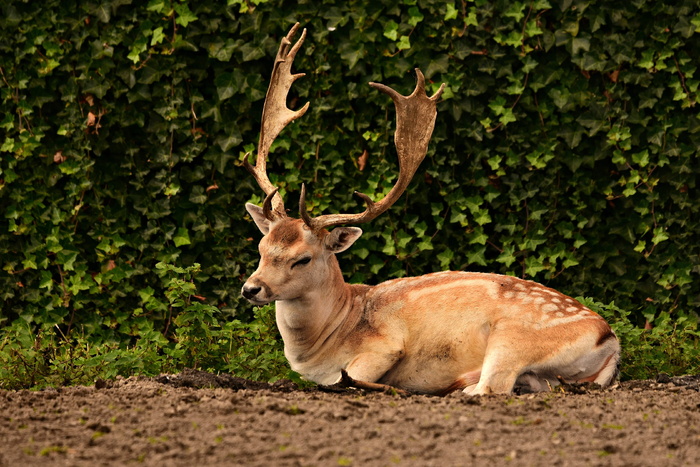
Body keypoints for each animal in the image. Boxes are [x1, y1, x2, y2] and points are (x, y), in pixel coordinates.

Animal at [239, 23, 616, 396]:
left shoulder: (384, 346)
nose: (250, 289)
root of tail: (610, 341)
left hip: (513, 337)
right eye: (261, 248)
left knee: (491, 387)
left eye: (303, 259)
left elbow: (351, 373)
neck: (330, 335)